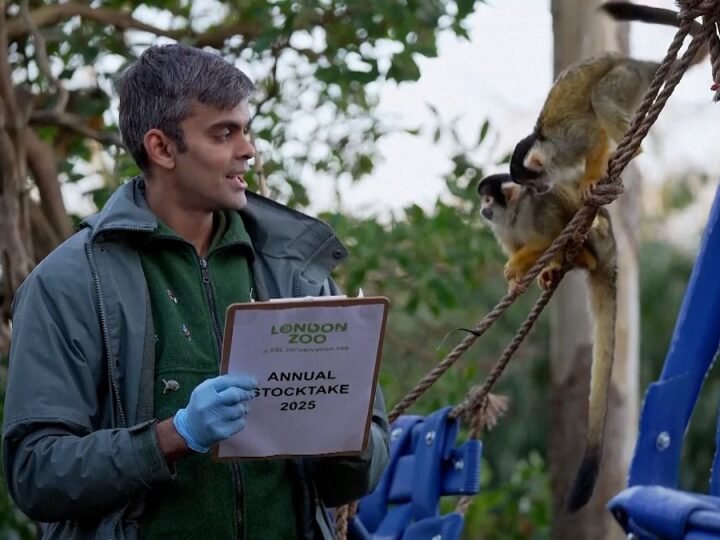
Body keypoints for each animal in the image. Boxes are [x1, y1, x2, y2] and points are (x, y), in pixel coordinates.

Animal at [478, 173, 620, 510]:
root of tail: (613, 256)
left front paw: (514, 267)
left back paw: (582, 252)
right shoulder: (502, 228)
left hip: (602, 240)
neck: (515, 213)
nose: (481, 209)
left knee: (577, 221)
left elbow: (547, 238)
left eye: (488, 199)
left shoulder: (540, 210)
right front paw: (516, 281)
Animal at [510, 1, 704, 197]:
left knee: (600, 96)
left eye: (532, 182)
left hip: (628, 77)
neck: (549, 146)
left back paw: (633, 151)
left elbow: (596, 136)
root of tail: (637, 64)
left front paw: (589, 179)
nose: (537, 190)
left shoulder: (568, 140)